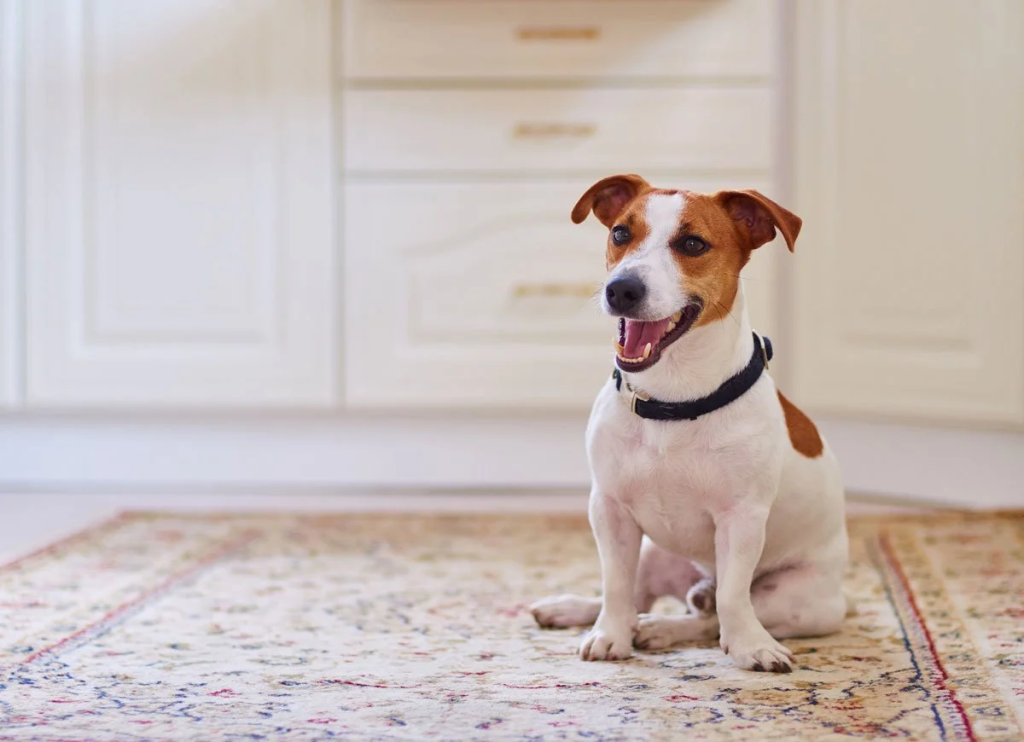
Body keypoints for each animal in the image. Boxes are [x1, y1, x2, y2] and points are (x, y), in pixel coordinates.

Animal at [528, 173, 847, 671]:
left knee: (713, 614)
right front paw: (608, 635)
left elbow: (734, 598)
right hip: (653, 550)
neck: (672, 400)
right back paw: (579, 611)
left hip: (798, 599)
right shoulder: (610, 509)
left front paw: (751, 648)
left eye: (693, 244)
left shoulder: (741, 519)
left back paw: (666, 628)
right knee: (639, 596)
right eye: (620, 233)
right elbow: (615, 586)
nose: (621, 289)